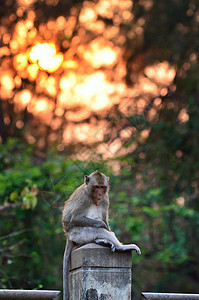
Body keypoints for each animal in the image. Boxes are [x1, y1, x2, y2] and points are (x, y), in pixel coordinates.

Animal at [62, 171, 141, 300]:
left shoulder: (105, 198)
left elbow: (104, 218)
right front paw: (102, 225)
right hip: (79, 233)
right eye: (96, 187)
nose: (99, 193)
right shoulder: (84, 198)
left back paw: (102, 241)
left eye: (102, 187)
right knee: (97, 230)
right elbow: (76, 218)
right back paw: (119, 246)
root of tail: (68, 237)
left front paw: (106, 226)